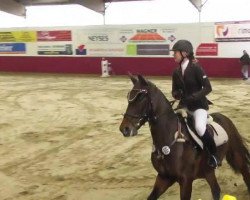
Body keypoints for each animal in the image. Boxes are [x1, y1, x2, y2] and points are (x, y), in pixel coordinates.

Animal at [119, 74, 250, 199]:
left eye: (141, 97)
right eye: (129, 97)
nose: (124, 129)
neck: (168, 141)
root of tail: (225, 118)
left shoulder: (186, 180)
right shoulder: (164, 178)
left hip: (236, 155)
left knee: (245, 174)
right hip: (208, 171)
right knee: (216, 190)